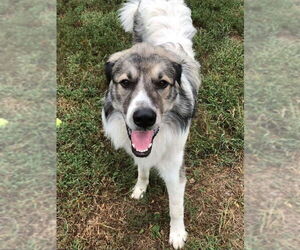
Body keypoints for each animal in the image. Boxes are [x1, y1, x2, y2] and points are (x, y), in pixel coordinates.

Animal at [102, 0, 200, 248]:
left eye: (162, 83)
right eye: (125, 82)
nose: (144, 118)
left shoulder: (175, 168)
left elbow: (176, 207)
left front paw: (177, 234)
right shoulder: (140, 152)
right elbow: (142, 169)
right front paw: (140, 187)